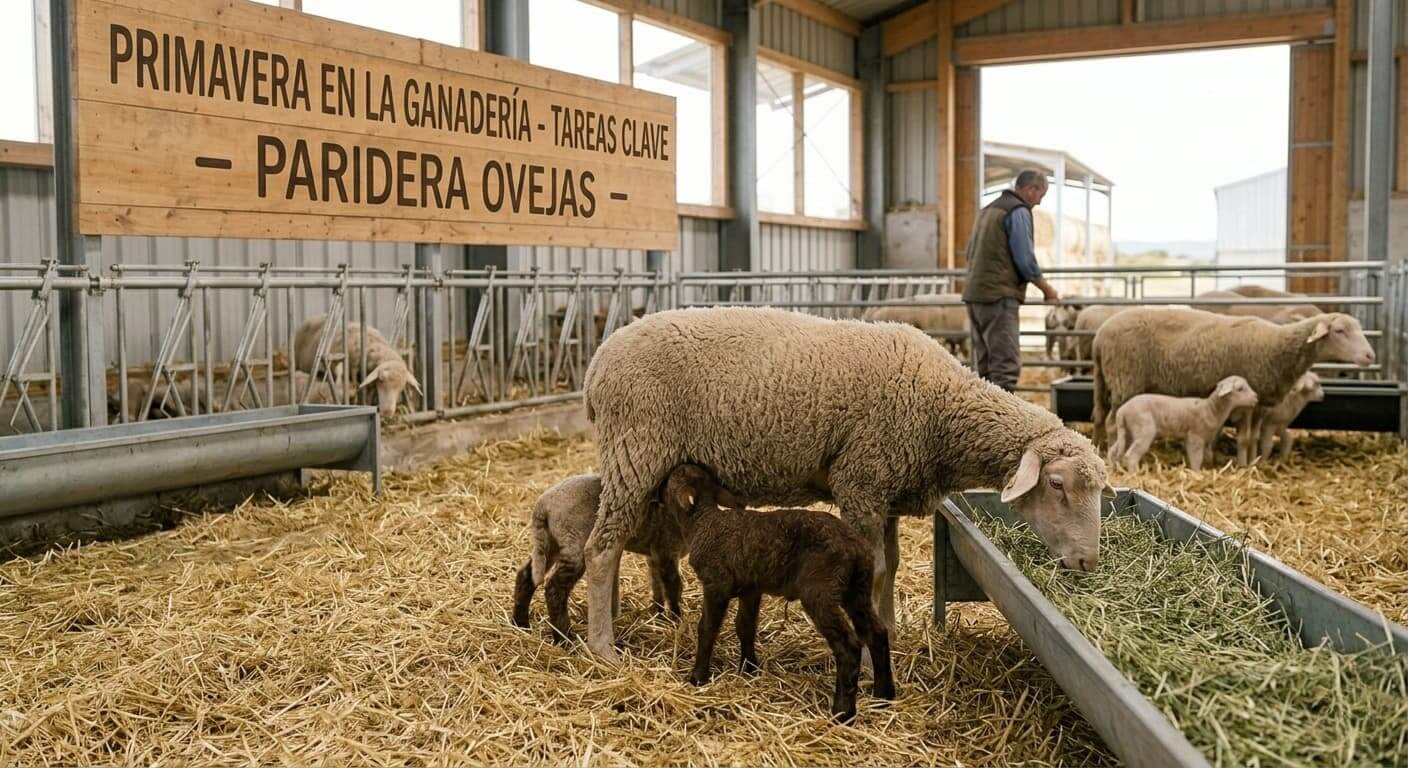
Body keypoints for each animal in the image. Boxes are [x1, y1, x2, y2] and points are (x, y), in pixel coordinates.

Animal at [512, 473, 702, 643]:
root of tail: (542, 505)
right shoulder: (666, 552)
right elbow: (673, 587)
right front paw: (677, 620)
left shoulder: (655, 555)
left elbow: (657, 587)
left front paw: (660, 615)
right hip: (575, 541)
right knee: (554, 587)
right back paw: (565, 640)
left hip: (550, 542)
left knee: (526, 575)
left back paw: (521, 624)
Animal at [578, 306, 1111, 660]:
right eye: (1057, 485)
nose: (1089, 562)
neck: (940, 409)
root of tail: (597, 362)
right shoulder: (861, 481)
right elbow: (872, 569)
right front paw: (877, 641)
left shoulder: (886, 489)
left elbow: (891, 566)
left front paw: (891, 628)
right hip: (637, 449)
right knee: (601, 550)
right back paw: (603, 646)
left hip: (643, 463)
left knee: (623, 544)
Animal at [663, 463, 895, 723]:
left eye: (672, 478)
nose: (658, 493)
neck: (702, 522)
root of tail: (855, 547)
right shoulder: (751, 587)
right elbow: (745, 626)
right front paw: (749, 669)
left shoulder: (716, 584)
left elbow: (707, 629)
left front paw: (698, 677)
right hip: (858, 588)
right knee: (876, 633)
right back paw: (883, 696)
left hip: (820, 590)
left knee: (849, 646)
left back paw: (843, 712)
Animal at [1106, 375, 1259, 472]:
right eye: (1240, 389)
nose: (1256, 398)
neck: (1210, 409)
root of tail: (1122, 411)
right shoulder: (1195, 436)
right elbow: (1196, 458)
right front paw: (1197, 473)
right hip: (1143, 429)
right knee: (1131, 455)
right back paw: (1135, 474)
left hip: (1127, 431)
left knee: (1113, 451)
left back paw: (1112, 468)